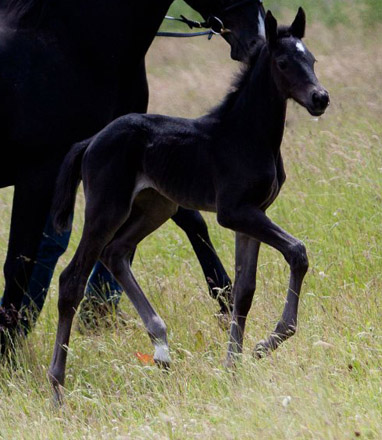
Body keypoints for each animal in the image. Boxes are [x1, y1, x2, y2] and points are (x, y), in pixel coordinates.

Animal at [0, 0, 266, 350]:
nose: (258, 37)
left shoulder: (133, 162)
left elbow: (190, 220)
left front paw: (226, 301)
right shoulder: (39, 176)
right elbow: (19, 264)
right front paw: (8, 350)